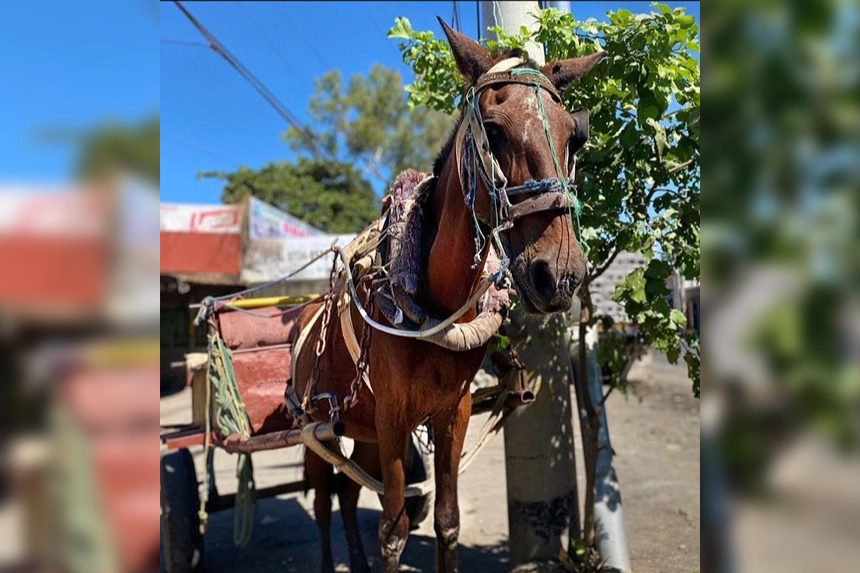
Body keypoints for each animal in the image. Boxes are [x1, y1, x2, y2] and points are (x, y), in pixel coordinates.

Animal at [290, 18, 605, 573]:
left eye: (576, 136)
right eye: (494, 130)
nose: (562, 273)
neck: (432, 308)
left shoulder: (450, 413)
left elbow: (447, 520)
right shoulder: (393, 418)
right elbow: (394, 531)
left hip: (361, 431)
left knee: (347, 497)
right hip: (318, 427)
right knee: (326, 500)